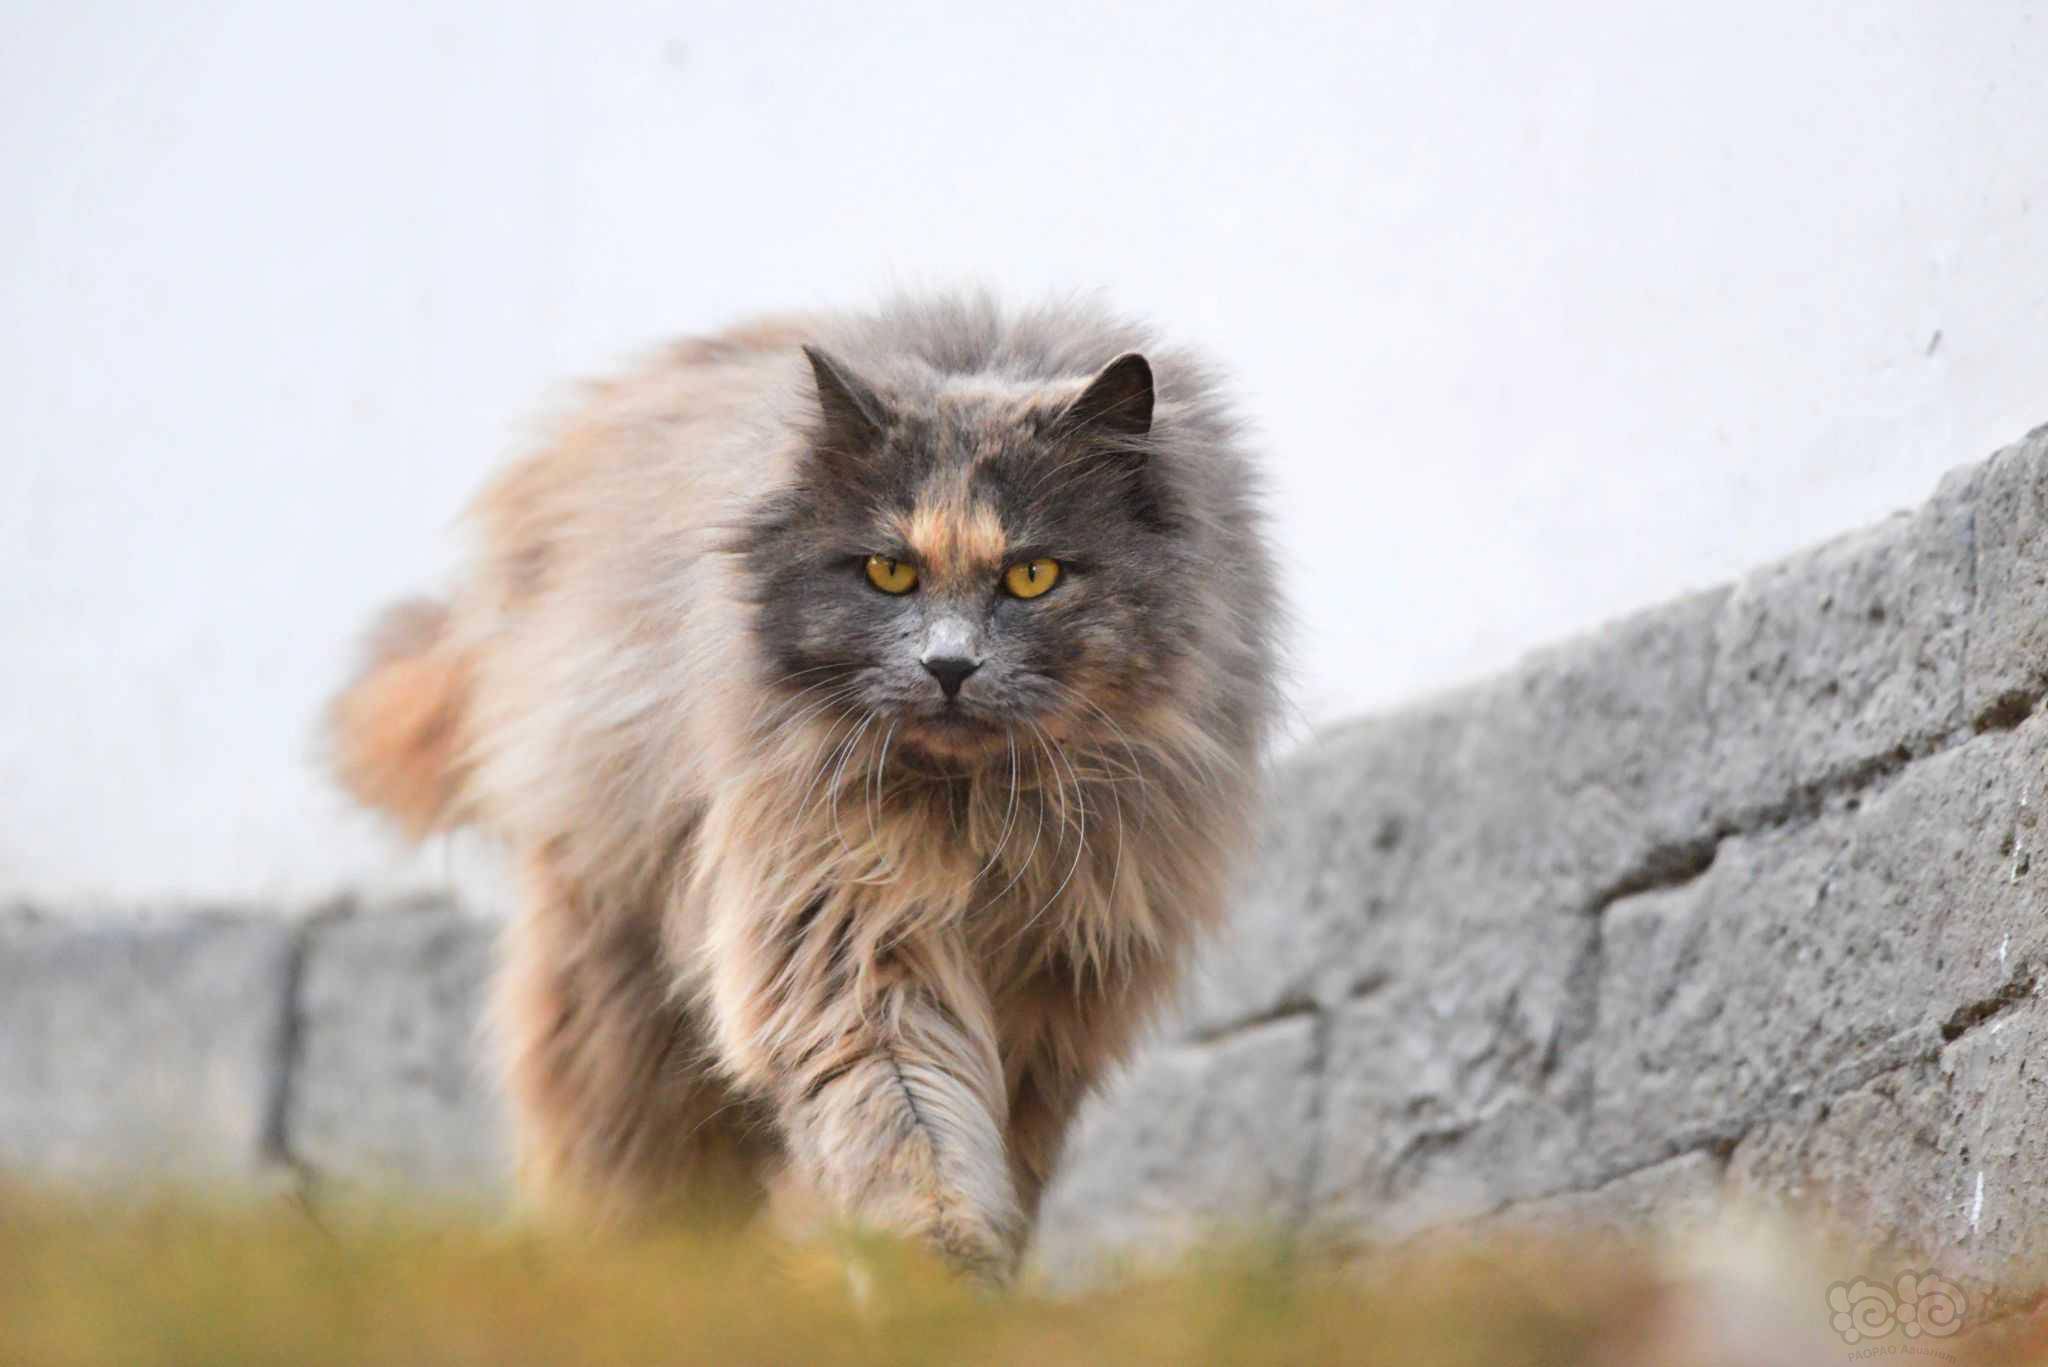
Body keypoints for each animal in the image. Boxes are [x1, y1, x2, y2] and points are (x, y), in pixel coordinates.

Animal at [331, 291, 1277, 1287]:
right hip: (618, 985)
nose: (948, 666)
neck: (977, 819)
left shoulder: (1049, 1003)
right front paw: (930, 1279)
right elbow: (908, 1127)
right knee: (625, 1172)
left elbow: (992, 1153)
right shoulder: (843, 933)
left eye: (1032, 575)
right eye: (888, 571)